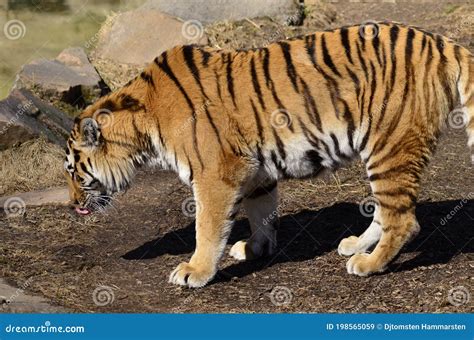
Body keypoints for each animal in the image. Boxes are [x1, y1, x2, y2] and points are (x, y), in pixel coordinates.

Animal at [64, 21, 474, 286]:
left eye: (72, 170)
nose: (72, 205)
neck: (143, 124)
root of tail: (443, 42)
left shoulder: (213, 175)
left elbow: (207, 228)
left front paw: (195, 272)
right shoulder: (256, 170)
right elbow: (260, 211)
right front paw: (255, 248)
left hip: (389, 146)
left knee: (403, 219)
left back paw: (369, 264)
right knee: (387, 211)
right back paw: (355, 245)